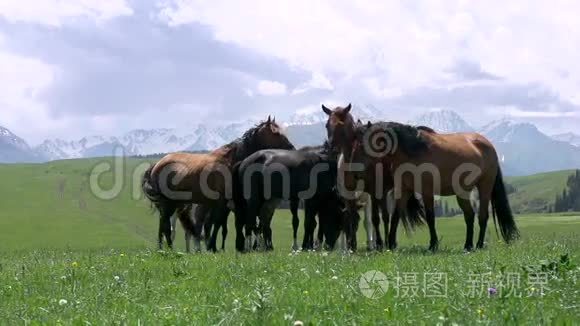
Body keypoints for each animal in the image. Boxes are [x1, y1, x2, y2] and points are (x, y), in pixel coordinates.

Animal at [141, 117, 294, 250]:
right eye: (275, 133)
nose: (291, 148)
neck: (231, 161)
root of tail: (156, 165)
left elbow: (221, 224)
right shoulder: (223, 202)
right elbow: (219, 223)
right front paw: (213, 247)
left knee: (164, 225)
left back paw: (164, 248)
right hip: (168, 204)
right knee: (166, 226)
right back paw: (170, 249)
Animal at [320, 103, 424, 251]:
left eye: (341, 124)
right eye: (327, 125)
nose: (331, 148)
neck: (353, 159)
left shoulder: (371, 193)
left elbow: (373, 219)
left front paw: (378, 244)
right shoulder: (348, 194)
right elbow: (351, 218)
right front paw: (351, 246)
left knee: (389, 215)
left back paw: (387, 242)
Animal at [346, 121, 520, 251]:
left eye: (361, 145)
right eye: (353, 144)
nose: (354, 173)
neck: (413, 151)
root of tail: (487, 144)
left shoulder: (427, 191)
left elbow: (430, 217)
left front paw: (433, 245)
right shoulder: (403, 190)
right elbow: (395, 215)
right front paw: (391, 244)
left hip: (484, 187)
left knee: (482, 216)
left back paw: (478, 245)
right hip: (462, 192)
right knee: (469, 216)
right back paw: (468, 245)